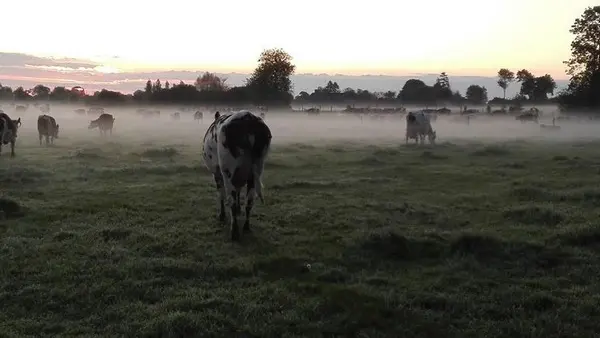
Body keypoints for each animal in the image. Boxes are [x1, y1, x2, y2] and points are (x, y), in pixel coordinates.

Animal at [204, 110, 274, 240]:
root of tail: (248, 118)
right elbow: (238, 192)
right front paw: (238, 209)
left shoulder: (217, 172)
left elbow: (221, 194)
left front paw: (222, 215)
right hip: (256, 170)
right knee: (249, 201)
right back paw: (246, 227)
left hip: (228, 172)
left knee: (230, 199)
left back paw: (234, 232)